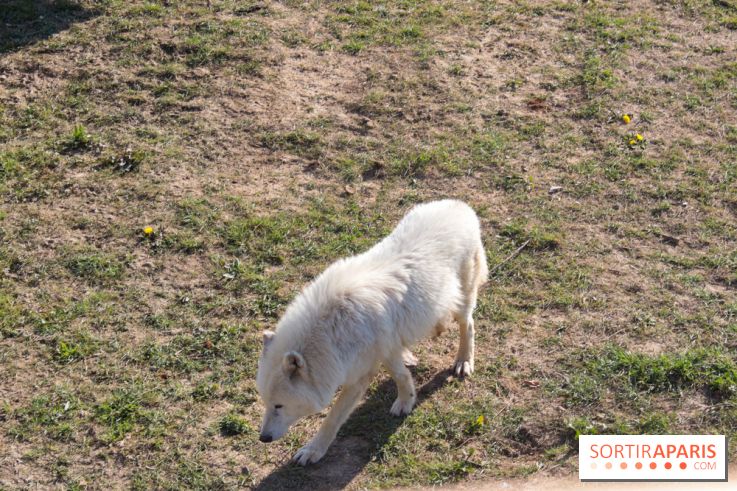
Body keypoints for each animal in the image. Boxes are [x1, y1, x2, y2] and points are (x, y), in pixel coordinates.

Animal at [256, 199, 488, 465]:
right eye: (266, 402)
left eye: (279, 406)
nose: (263, 438)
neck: (332, 332)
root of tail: (461, 206)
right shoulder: (380, 352)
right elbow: (400, 370)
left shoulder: (361, 373)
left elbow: (333, 417)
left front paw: (313, 451)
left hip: (463, 302)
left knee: (468, 326)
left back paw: (463, 361)